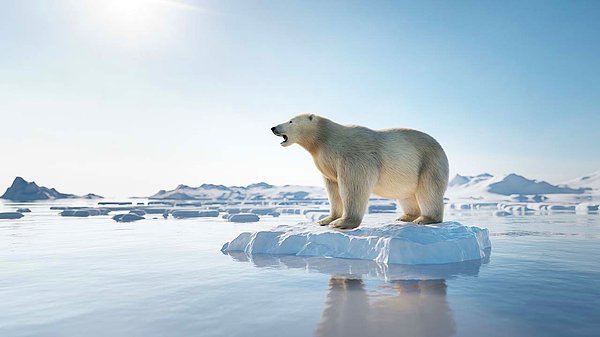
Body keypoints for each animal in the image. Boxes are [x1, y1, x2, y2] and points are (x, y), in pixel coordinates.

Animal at [270, 113, 448, 228]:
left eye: (291, 121)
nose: (273, 127)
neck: (325, 139)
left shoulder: (353, 156)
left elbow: (353, 185)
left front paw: (342, 222)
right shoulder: (327, 163)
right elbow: (333, 189)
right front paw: (326, 219)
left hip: (429, 162)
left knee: (428, 191)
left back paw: (425, 219)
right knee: (406, 195)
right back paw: (405, 217)